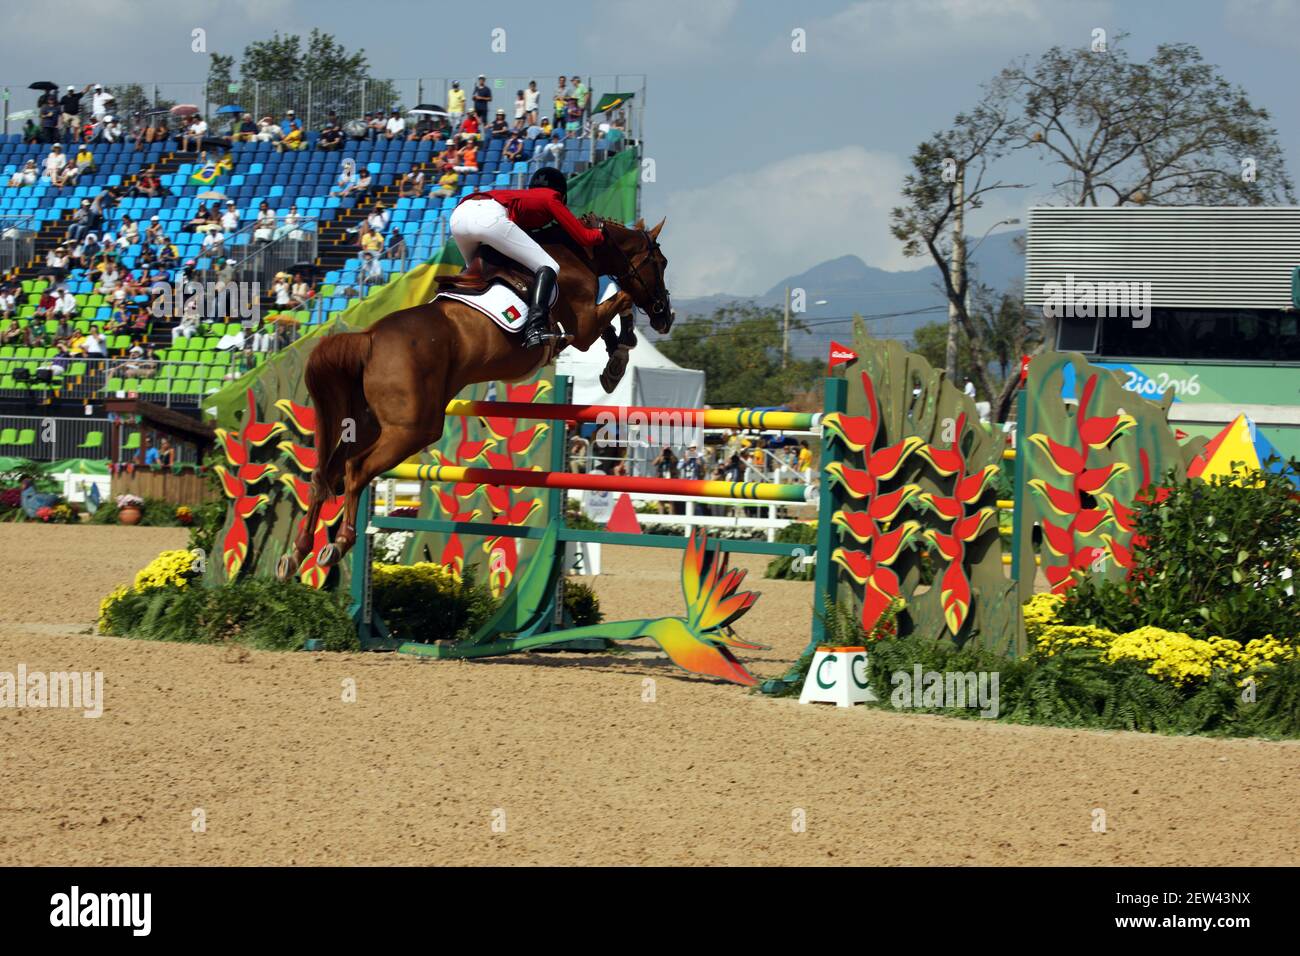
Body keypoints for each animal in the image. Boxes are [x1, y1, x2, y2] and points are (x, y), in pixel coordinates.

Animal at [278, 217, 676, 580]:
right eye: (661, 263)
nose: (665, 316)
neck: (581, 253)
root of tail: (369, 338)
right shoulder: (582, 325)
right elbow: (623, 299)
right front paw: (622, 350)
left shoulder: (584, 326)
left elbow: (615, 316)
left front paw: (615, 363)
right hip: (413, 429)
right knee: (355, 469)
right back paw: (338, 544)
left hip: (366, 425)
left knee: (325, 473)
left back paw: (295, 554)